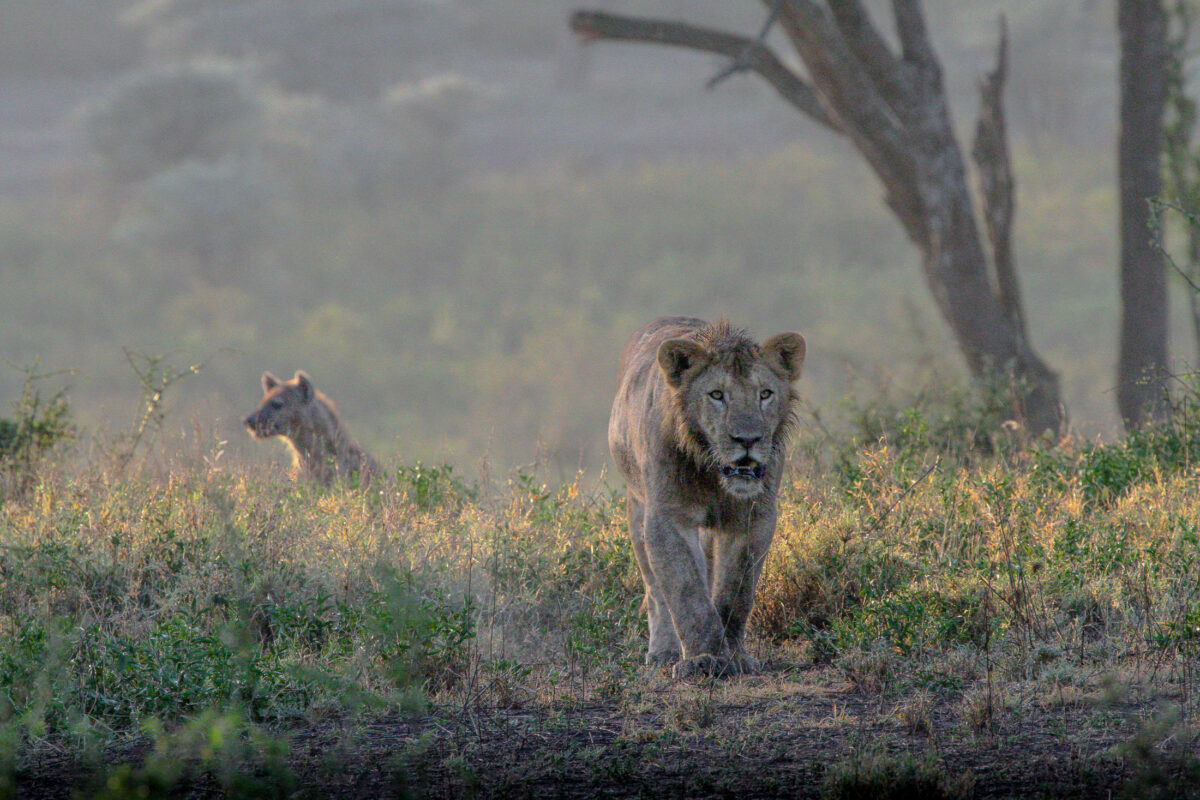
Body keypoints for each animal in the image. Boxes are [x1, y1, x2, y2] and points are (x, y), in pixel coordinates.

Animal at [608, 317, 806, 679]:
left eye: (765, 394)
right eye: (716, 395)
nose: (747, 439)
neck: (713, 473)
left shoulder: (752, 519)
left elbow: (735, 592)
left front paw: (735, 656)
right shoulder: (668, 517)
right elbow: (687, 590)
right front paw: (703, 659)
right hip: (636, 506)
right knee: (655, 590)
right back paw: (664, 651)